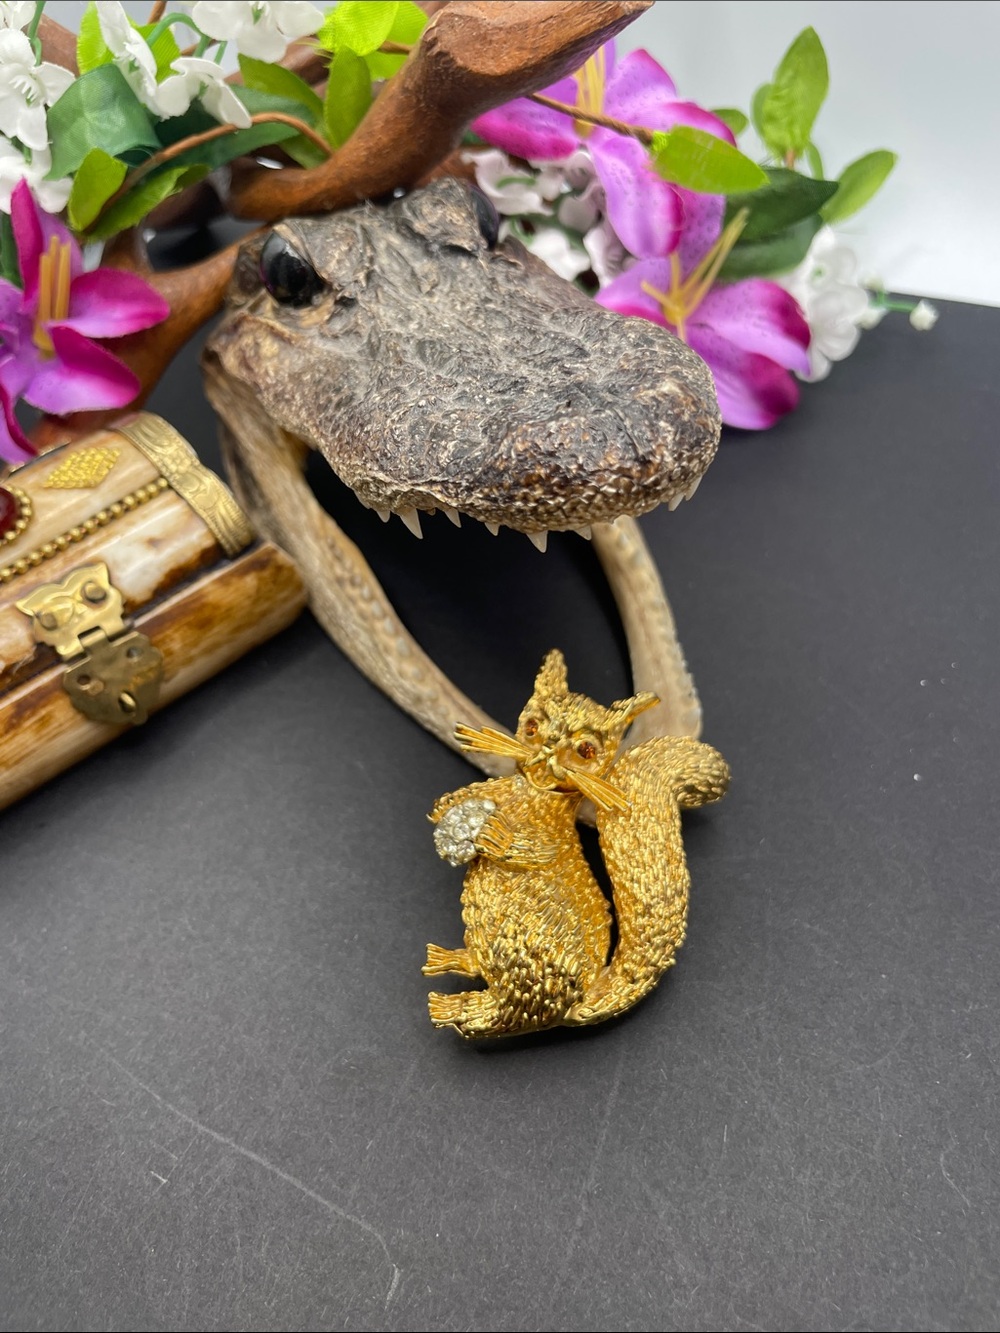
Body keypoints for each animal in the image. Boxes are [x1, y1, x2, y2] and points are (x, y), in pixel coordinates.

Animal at [424, 650, 730, 1038]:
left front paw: (495, 834)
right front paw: (462, 816)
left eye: (585, 750)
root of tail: (576, 1004)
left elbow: (537, 850)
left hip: (522, 955)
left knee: (507, 1015)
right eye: (532, 728)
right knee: (483, 974)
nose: (546, 752)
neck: (531, 796)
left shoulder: (549, 836)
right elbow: (442, 806)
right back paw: (449, 960)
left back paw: (457, 1009)